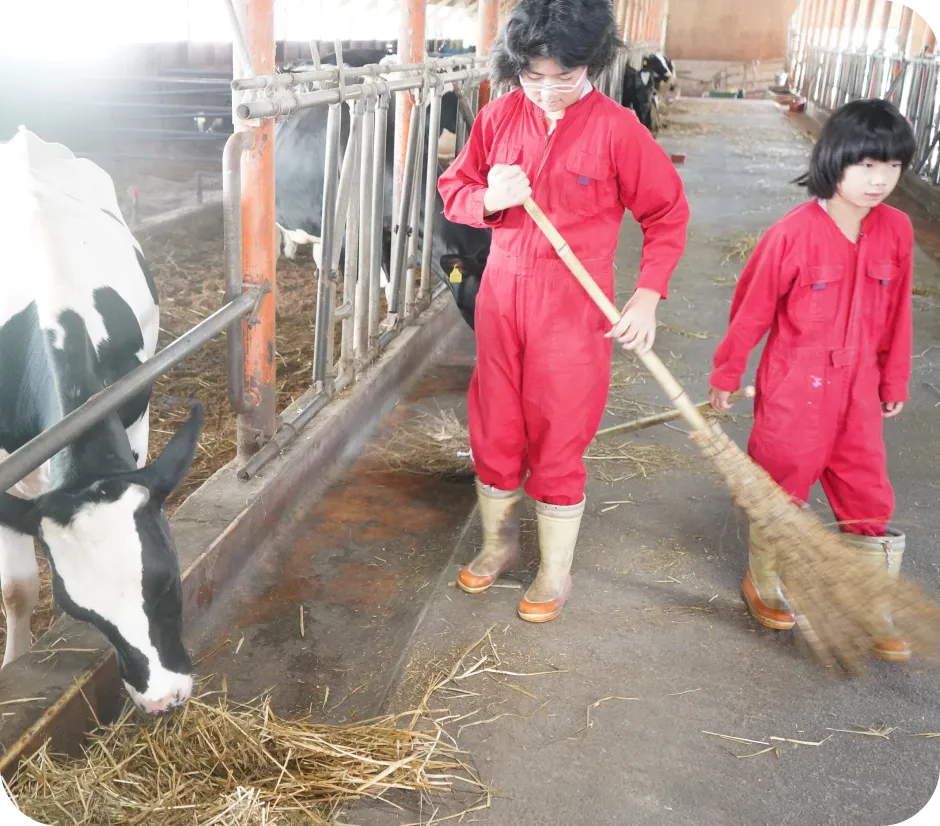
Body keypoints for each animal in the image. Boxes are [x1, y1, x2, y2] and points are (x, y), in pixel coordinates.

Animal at [0, 129, 204, 716]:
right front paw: (15, 661)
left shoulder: (136, 420)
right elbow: (17, 588)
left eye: (166, 581)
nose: (163, 699)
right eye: (83, 614)